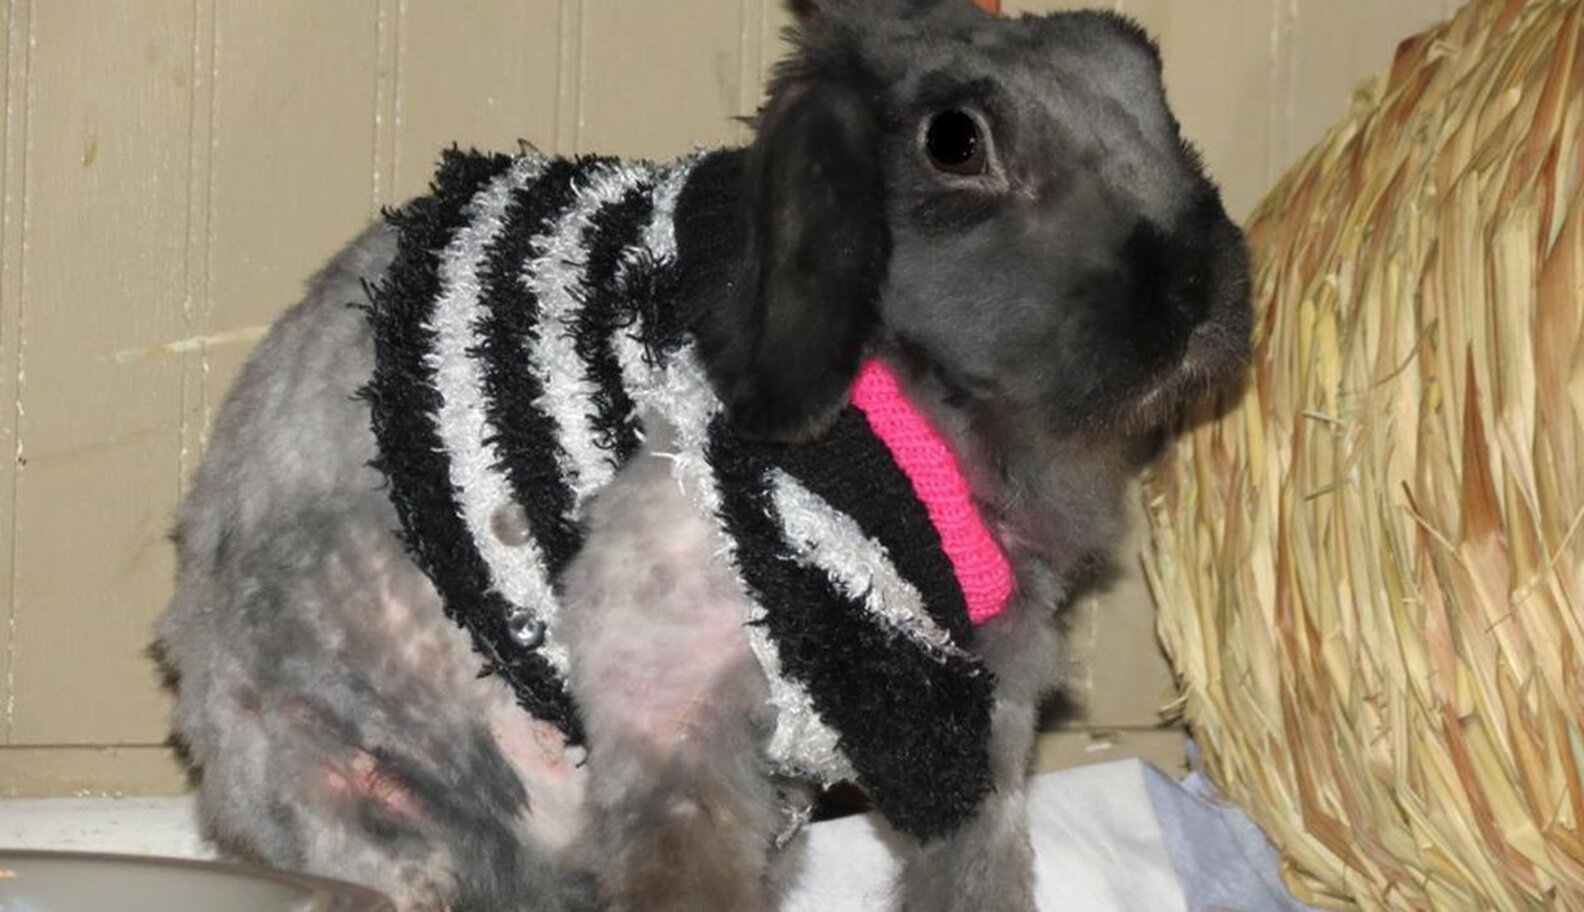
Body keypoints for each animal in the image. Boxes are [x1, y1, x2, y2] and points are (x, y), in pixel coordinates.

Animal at [154, 1, 1252, 910]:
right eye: (955, 142)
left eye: (1145, 81)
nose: (1198, 288)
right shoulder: (669, 675)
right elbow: (681, 859)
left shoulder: (985, 723)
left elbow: (980, 867)